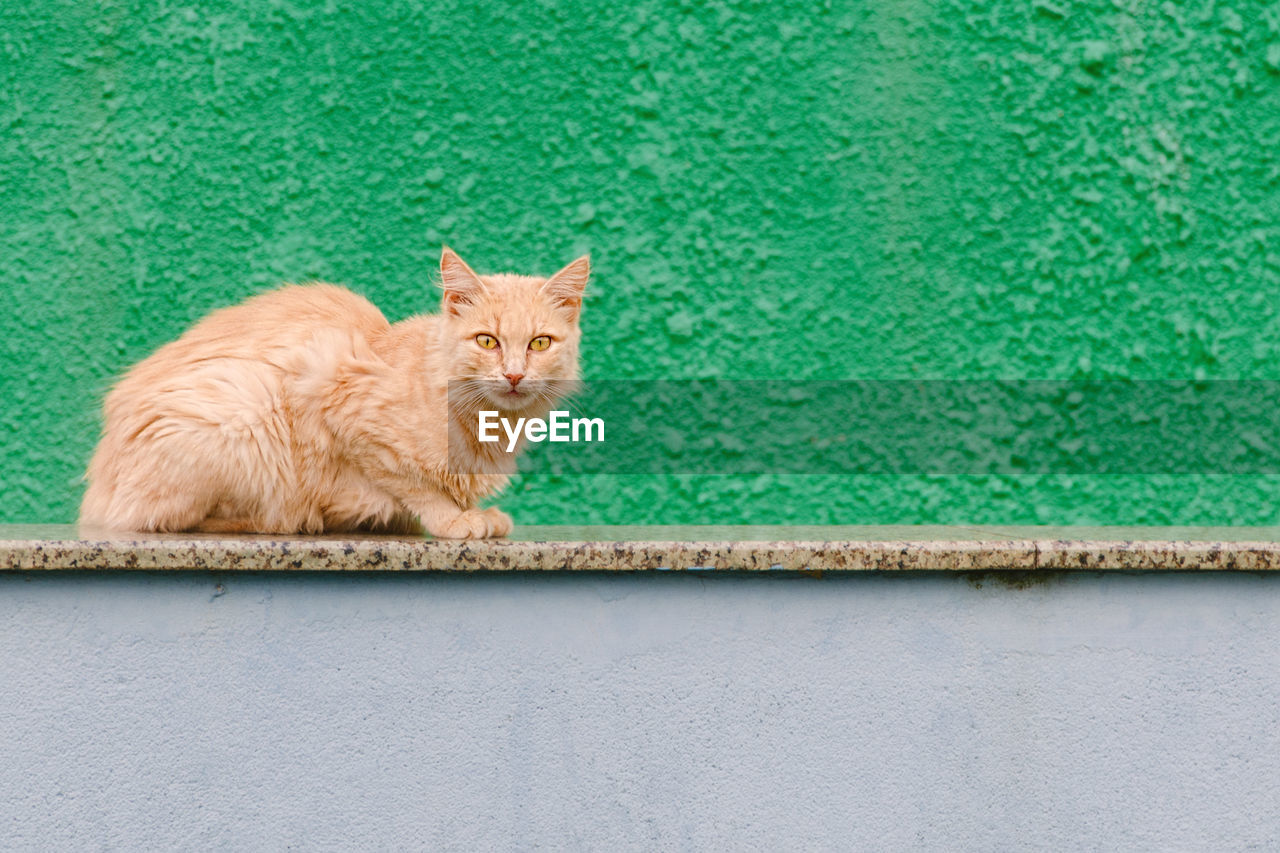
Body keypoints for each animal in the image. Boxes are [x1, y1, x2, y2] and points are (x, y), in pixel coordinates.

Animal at [74, 247, 586, 537]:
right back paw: (286, 521)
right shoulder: (339, 396)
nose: (514, 375)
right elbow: (414, 485)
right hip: (243, 414)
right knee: (164, 519)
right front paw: (453, 520)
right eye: (487, 341)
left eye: (540, 344)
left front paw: (475, 511)